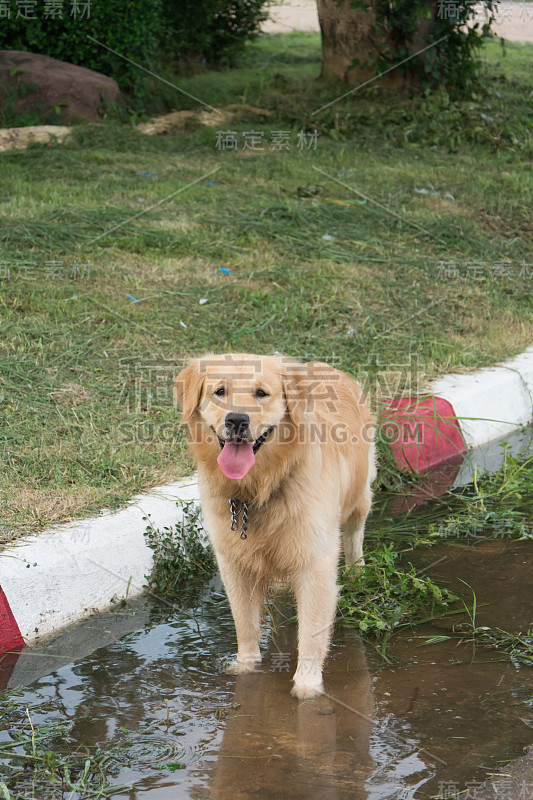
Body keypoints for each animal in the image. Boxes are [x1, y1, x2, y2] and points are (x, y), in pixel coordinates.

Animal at [175, 354, 374, 696]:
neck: (261, 487)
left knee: (354, 536)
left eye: (261, 393)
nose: (236, 420)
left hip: (360, 496)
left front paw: (307, 688)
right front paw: (245, 667)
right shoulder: (233, 563)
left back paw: (357, 572)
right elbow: (245, 625)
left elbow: (311, 634)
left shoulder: (316, 563)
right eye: (220, 391)